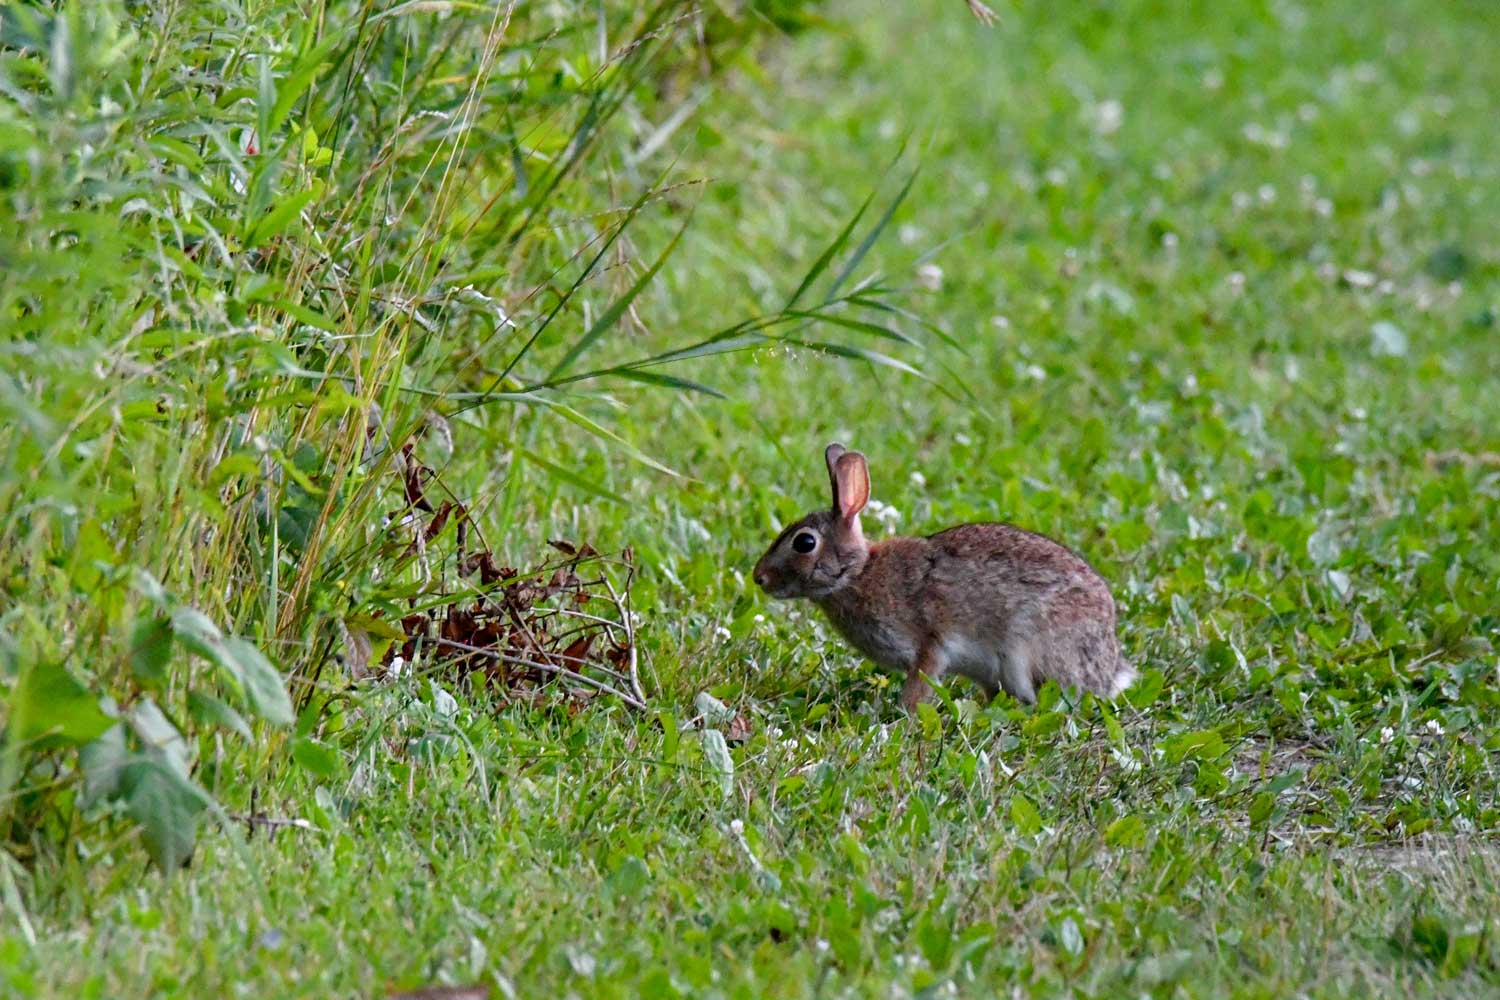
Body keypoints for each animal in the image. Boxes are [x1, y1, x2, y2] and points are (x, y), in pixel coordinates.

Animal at [756, 440, 1128, 707]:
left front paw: (903, 716)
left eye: (804, 542)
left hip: (1027, 653)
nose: (759, 578)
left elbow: (920, 684)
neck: (857, 573)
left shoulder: (930, 644)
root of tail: (1106, 669)